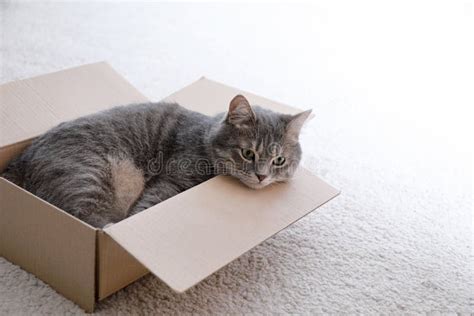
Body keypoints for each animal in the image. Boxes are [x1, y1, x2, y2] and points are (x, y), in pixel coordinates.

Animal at [1, 94, 312, 227]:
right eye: (248, 153)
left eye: (279, 160)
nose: (262, 176)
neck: (206, 140)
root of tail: (20, 159)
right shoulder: (171, 181)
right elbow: (145, 208)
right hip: (88, 176)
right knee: (89, 218)